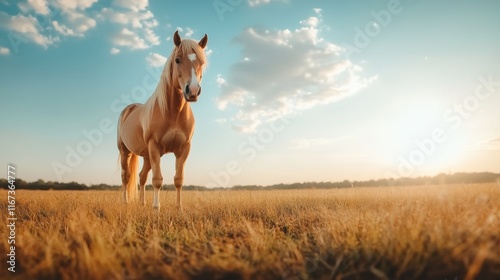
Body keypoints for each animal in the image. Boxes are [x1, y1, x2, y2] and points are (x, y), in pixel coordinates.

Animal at [116, 30, 207, 210]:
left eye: (201, 62)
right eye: (177, 59)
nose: (192, 91)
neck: (172, 113)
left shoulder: (183, 149)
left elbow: (178, 180)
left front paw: (179, 208)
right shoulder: (155, 147)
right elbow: (157, 180)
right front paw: (156, 208)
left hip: (146, 155)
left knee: (142, 176)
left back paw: (142, 203)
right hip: (125, 151)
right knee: (126, 176)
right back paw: (125, 202)